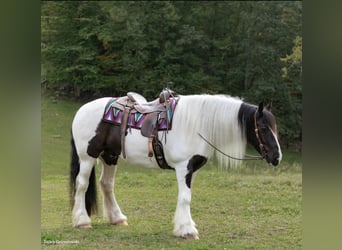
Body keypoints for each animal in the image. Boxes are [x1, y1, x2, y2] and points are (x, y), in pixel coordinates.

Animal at [69, 91, 280, 238]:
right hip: (87, 157)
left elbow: (186, 197)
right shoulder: (183, 168)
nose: (277, 157)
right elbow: (185, 197)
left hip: (110, 156)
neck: (196, 125)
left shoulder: (192, 169)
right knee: (82, 184)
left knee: (106, 184)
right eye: (263, 127)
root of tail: (81, 110)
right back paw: (82, 221)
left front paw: (184, 226)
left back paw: (117, 218)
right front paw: (187, 230)